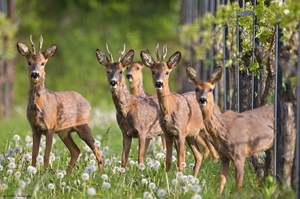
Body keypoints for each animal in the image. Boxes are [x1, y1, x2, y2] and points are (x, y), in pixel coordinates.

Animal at [16, 35, 103, 174]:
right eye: (28, 62)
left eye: (43, 63)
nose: (35, 74)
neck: (39, 107)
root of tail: (88, 102)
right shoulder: (35, 129)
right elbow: (34, 154)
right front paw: (33, 171)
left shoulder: (50, 127)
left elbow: (46, 154)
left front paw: (44, 173)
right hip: (64, 132)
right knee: (76, 150)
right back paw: (67, 175)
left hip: (84, 126)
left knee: (97, 149)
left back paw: (100, 173)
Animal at [141, 44, 218, 176]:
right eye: (153, 71)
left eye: (167, 72)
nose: (159, 83)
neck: (171, 108)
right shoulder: (168, 133)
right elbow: (168, 160)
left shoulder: (181, 131)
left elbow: (180, 160)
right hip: (192, 135)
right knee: (199, 155)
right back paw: (194, 178)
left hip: (206, 131)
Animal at [186, 65, 276, 193]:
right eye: (196, 88)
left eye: (210, 89)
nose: (203, 100)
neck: (224, 129)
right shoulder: (224, 155)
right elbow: (222, 181)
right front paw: (219, 193)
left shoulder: (240, 154)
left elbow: (238, 185)